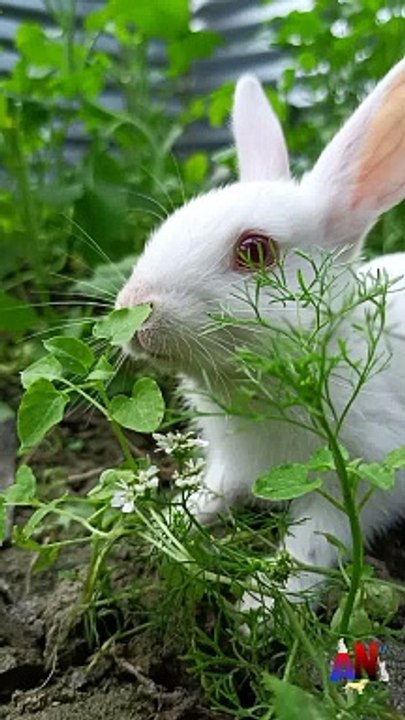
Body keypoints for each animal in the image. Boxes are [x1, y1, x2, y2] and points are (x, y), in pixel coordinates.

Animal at [116, 57, 405, 614]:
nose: (133, 307)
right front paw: (171, 527)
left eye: (254, 251)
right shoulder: (232, 466)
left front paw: (259, 613)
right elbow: (211, 496)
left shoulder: (356, 478)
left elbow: (309, 547)